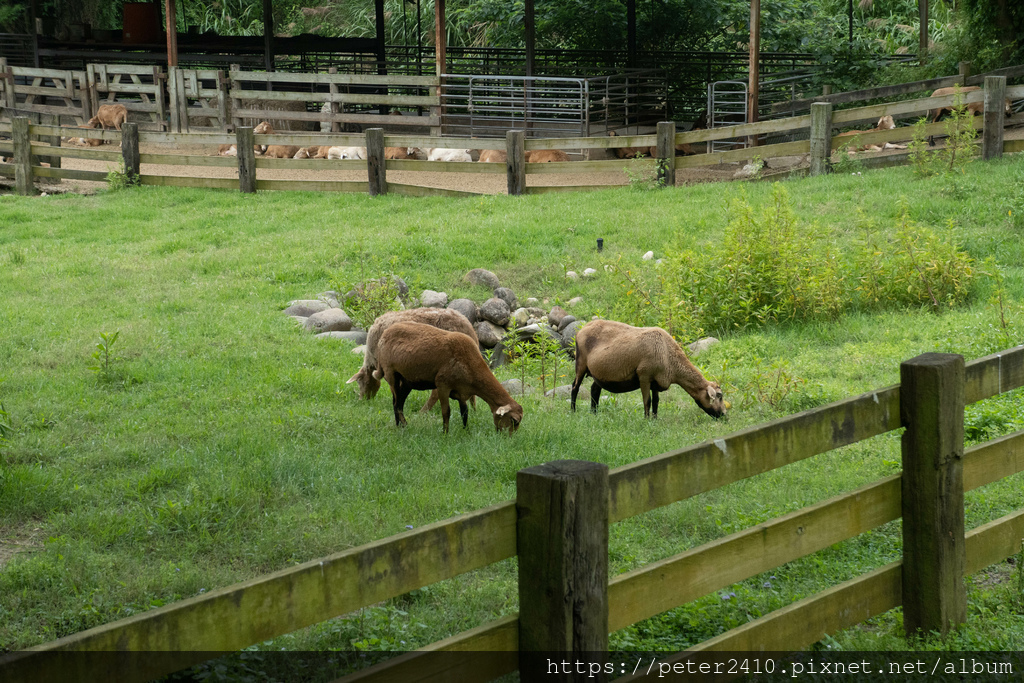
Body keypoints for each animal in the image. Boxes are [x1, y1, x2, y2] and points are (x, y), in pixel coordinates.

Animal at [372, 325, 524, 432]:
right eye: (514, 420)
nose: (507, 438)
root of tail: (383, 336)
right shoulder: (443, 385)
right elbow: (446, 412)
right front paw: (445, 434)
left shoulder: (462, 391)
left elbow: (465, 413)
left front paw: (466, 431)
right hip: (391, 374)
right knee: (396, 403)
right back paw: (402, 426)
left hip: (407, 381)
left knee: (399, 403)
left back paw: (401, 425)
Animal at [569, 319, 729, 419]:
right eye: (720, 396)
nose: (725, 417)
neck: (669, 355)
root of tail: (582, 329)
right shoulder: (644, 376)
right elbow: (648, 401)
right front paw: (646, 421)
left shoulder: (656, 381)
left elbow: (656, 402)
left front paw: (655, 419)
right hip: (580, 363)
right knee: (575, 387)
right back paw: (573, 412)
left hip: (599, 373)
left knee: (594, 390)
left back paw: (594, 413)